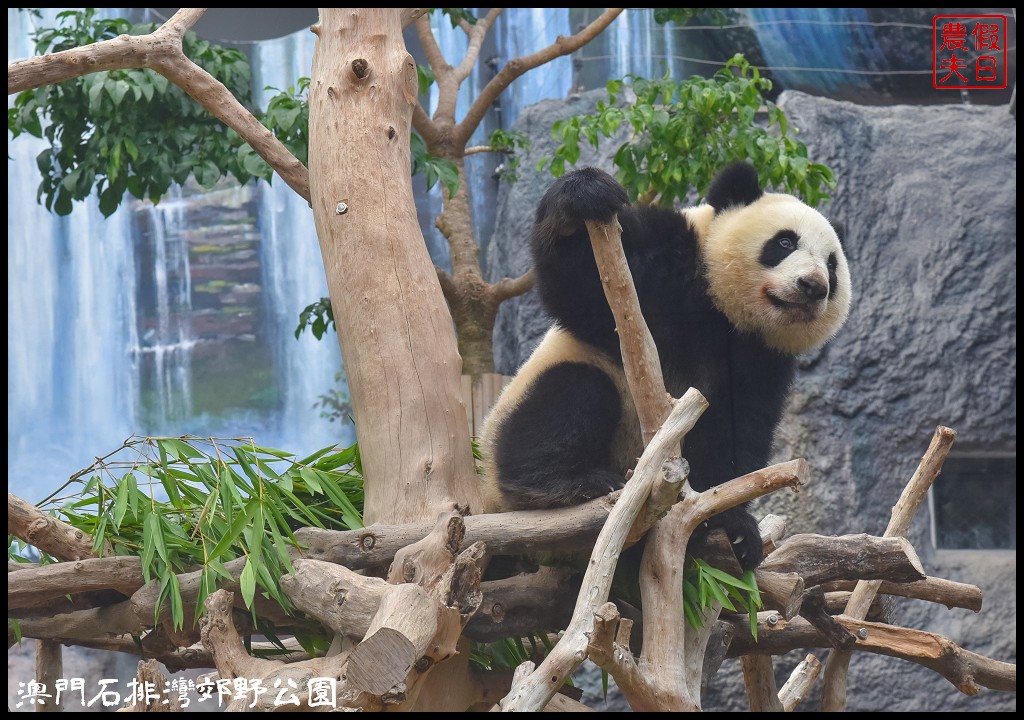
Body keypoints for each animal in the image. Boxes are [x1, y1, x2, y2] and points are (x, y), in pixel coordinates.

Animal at [483, 160, 851, 573]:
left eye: (832, 266)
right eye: (785, 243)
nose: (813, 286)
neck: (726, 313)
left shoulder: (760, 359)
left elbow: (736, 432)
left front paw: (733, 525)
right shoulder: (668, 264)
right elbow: (577, 282)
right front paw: (585, 195)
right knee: (570, 395)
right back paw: (561, 486)